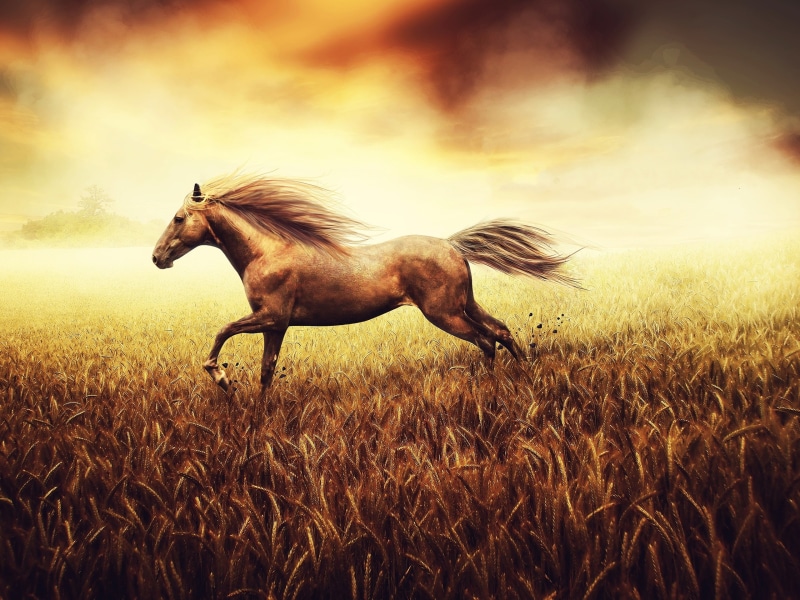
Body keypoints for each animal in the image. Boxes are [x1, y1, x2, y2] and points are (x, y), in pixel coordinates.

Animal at [152, 174, 579, 396]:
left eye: (178, 218)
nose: (157, 258)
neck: (266, 251)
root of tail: (452, 245)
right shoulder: (276, 325)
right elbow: (266, 371)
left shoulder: (269, 316)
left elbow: (222, 332)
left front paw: (222, 379)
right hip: (464, 304)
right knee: (501, 330)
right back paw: (524, 375)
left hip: (444, 313)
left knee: (485, 340)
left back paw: (488, 388)